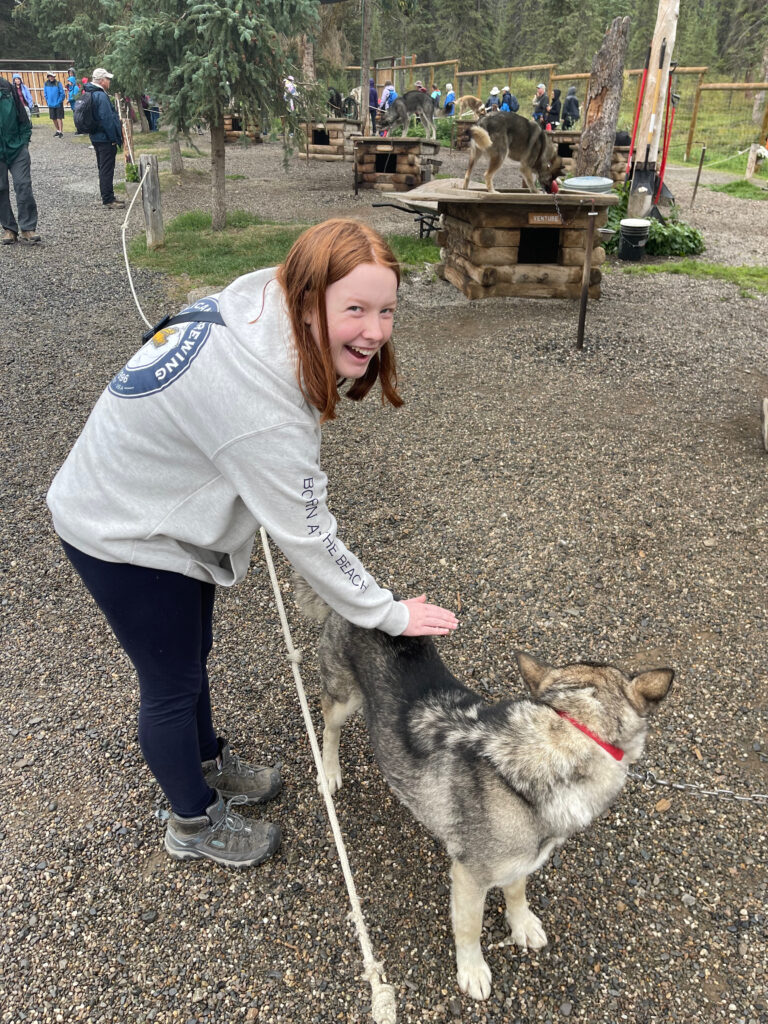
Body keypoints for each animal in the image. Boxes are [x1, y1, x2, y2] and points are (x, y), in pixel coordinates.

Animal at [296, 585, 671, 999]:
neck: (565, 737)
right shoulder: (469, 877)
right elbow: (469, 928)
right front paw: (472, 969)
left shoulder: (521, 858)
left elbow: (517, 893)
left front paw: (521, 923)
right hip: (342, 699)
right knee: (328, 727)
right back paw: (329, 770)